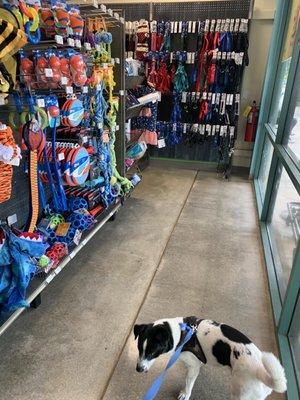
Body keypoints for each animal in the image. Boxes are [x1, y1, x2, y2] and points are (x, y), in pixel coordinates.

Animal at [134, 318, 286, 398]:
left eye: (152, 353)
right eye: (139, 349)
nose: (138, 369)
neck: (182, 333)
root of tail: (261, 371)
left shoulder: (193, 367)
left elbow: (188, 383)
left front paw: (185, 394)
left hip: (239, 393)